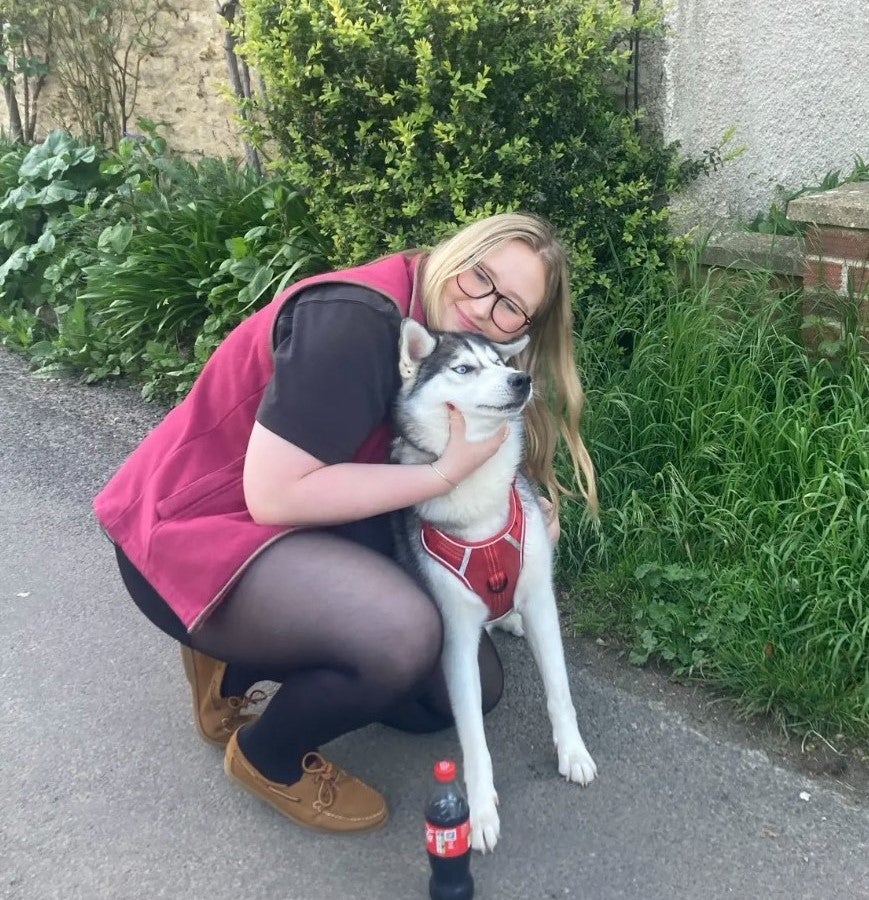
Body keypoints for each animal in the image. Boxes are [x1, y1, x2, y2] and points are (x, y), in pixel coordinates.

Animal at [394, 322, 596, 852]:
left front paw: (572, 752)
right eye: (464, 368)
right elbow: (473, 739)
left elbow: (560, 689)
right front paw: (480, 811)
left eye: (502, 363)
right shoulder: (458, 636)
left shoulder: (541, 597)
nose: (521, 380)